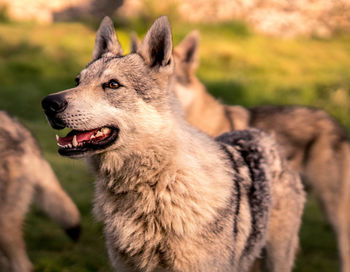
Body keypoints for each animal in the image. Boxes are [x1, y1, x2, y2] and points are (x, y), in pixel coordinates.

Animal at [40, 15, 304, 270]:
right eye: (77, 82)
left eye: (112, 84)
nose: (48, 103)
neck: (154, 182)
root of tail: (264, 135)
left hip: (277, 260)